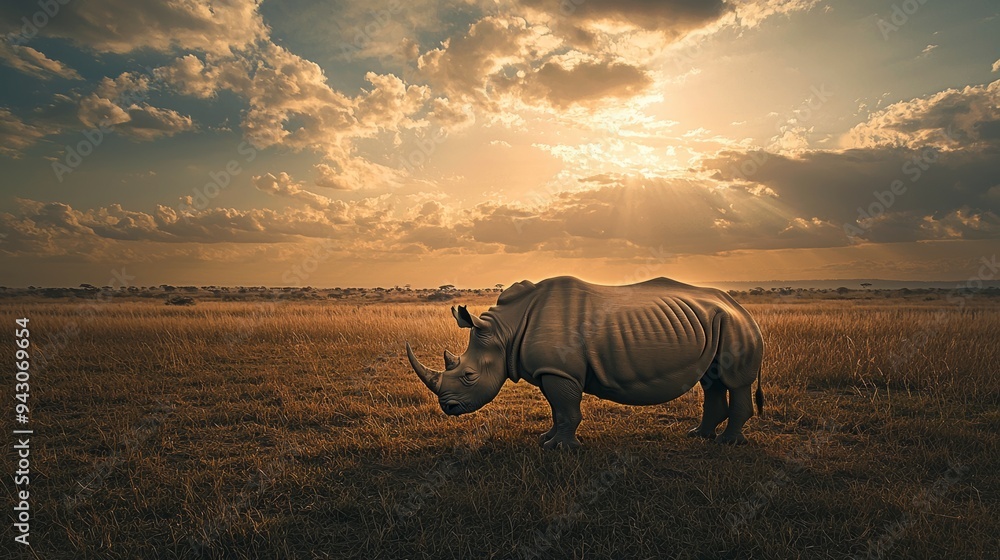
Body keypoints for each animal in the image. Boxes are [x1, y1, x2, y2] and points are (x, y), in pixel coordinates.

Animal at [405, 276, 764, 449]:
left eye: (468, 374)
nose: (448, 408)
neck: (505, 330)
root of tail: (740, 306)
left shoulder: (560, 372)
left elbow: (566, 409)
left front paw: (560, 449)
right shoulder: (552, 371)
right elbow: (557, 409)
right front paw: (545, 439)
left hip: (735, 325)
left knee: (734, 381)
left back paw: (728, 443)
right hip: (716, 322)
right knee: (712, 379)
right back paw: (698, 436)